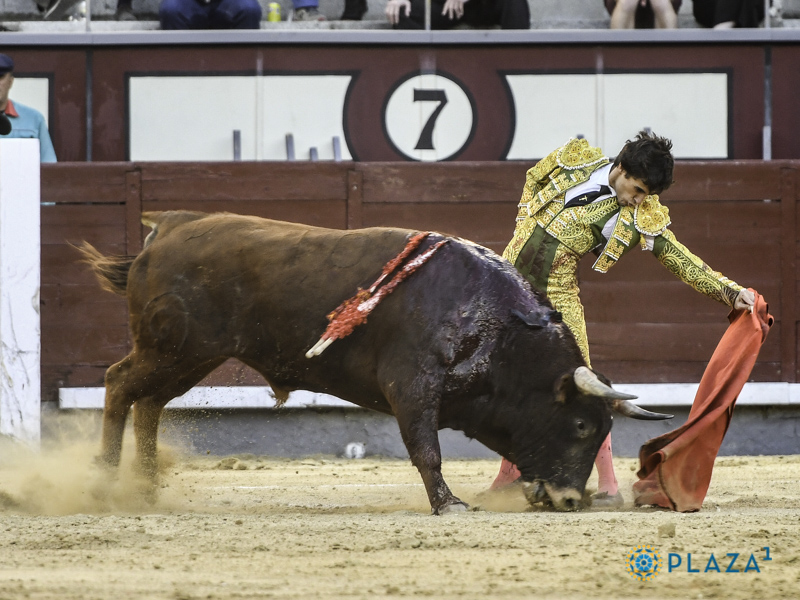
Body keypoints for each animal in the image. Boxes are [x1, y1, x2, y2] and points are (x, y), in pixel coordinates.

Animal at [78, 210, 669, 514]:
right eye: (579, 426)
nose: (571, 499)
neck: (495, 328)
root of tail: (167, 230)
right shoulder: (412, 386)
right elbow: (427, 451)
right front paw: (449, 505)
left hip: (187, 358)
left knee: (149, 402)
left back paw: (145, 489)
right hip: (173, 349)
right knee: (118, 384)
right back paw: (104, 480)